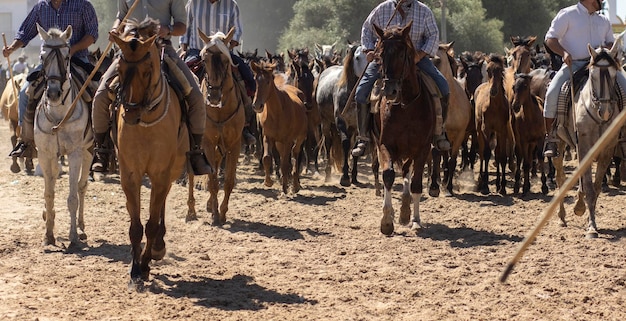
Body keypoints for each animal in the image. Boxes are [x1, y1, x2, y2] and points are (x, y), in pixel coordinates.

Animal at [111, 18, 195, 284]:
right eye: (119, 69)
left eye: (148, 70)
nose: (130, 113)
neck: (146, 123)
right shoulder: (130, 174)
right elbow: (136, 225)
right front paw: (135, 268)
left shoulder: (160, 173)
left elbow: (151, 223)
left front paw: (147, 262)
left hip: (172, 170)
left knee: (161, 206)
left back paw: (158, 246)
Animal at [250, 61, 306, 194]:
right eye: (256, 79)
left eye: (268, 81)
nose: (257, 105)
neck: (277, 112)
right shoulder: (267, 137)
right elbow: (266, 158)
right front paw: (268, 182)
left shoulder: (288, 140)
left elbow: (285, 163)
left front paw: (285, 188)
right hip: (279, 142)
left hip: (300, 137)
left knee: (295, 153)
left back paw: (295, 185)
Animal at [370, 21, 434, 234]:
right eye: (380, 54)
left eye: (401, 54)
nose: (389, 90)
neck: (407, 106)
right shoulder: (385, 145)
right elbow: (388, 175)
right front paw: (386, 221)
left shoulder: (423, 148)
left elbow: (416, 184)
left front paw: (415, 219)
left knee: (408, 173)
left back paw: (406, 211)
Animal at [472, 54, 512, 194]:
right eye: (488, 70)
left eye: (500, 70)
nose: (493, 91)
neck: (495, 106)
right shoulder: (486, 129)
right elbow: (487, 153)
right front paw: (485, 186)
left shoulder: (502, 131)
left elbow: (502, 156)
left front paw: (503, 187)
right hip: (479, 130)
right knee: (482, 153)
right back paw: (480, 181)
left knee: (497, 153)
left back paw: (498, 184)